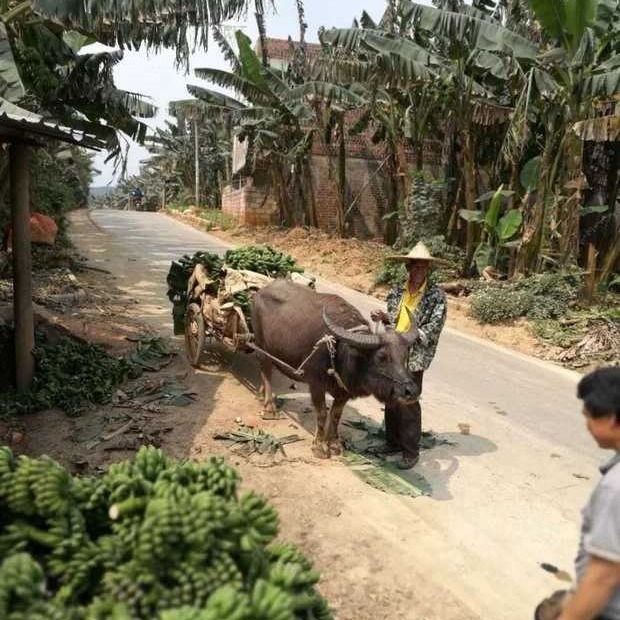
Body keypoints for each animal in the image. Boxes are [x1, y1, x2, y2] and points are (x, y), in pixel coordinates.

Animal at [249, 278, 418, 458]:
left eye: (405, 357)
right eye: (381, 357)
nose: (411, 392)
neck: (341, 351)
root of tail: (260, 291)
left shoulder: (344, 391)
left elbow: (336, 415)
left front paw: (335, 443)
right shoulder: (316, 384)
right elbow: (322, 413)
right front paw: (319, 446)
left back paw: (261, 395)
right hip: (261, 345)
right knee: (266, 370)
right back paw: (269, 408)